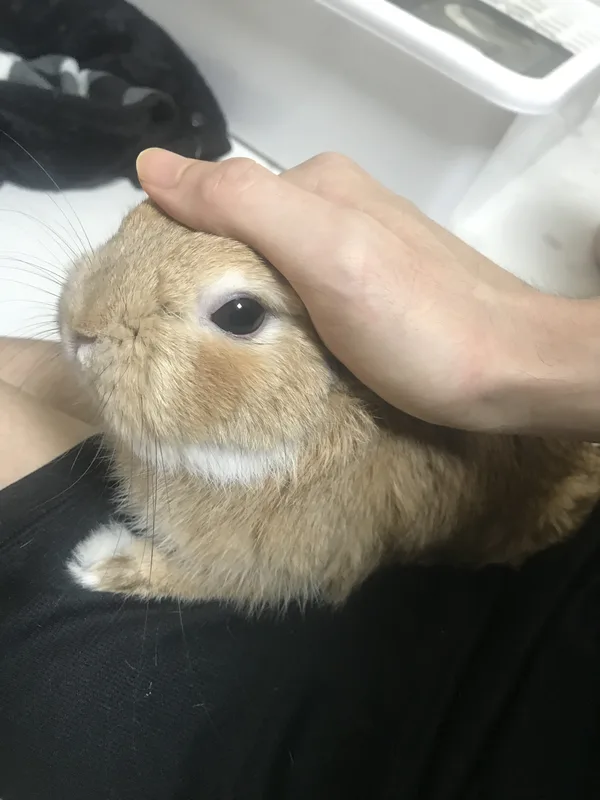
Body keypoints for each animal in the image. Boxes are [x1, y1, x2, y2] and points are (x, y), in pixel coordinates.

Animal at [59, 200, 600, 611]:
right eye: (135, 216)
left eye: (241, 314)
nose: (80, 327)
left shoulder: (273, 571)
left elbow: (198, 581)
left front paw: (94, 563)